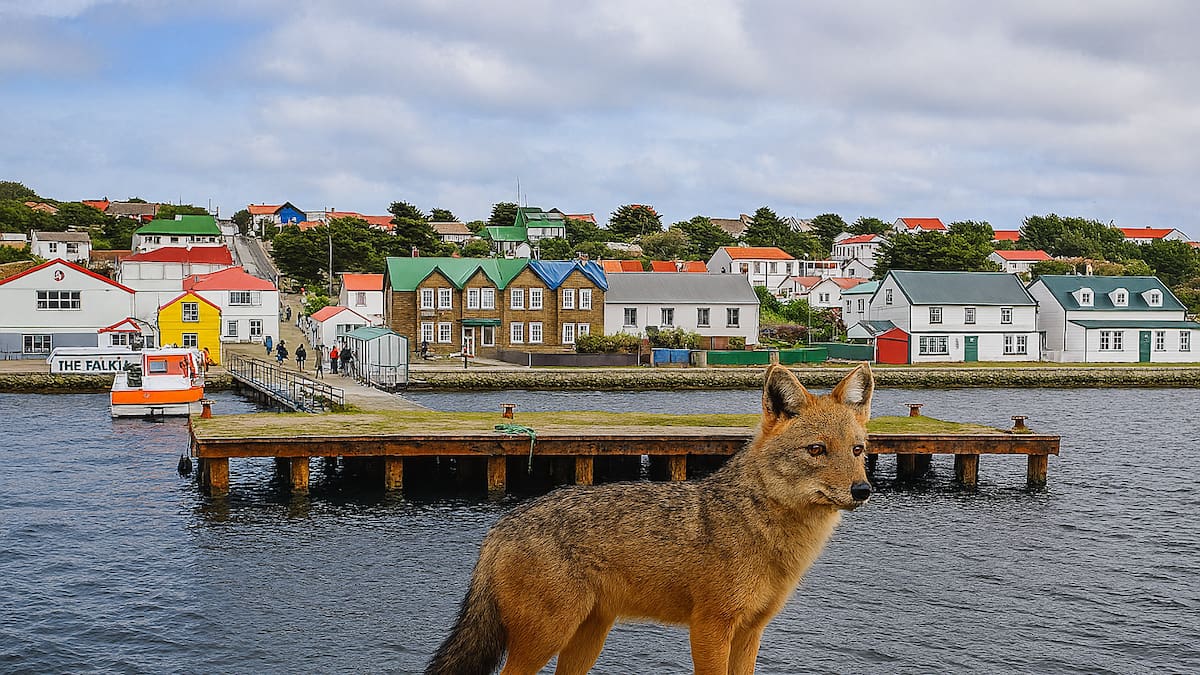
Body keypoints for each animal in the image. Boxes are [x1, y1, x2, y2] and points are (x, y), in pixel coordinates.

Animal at [425, 363, 874, 675]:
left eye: (857, 450)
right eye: (816, 450)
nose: (863, 490)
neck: (765, 529)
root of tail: (501, 526)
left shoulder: (750, 632)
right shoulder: (710, 627)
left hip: (586, 639)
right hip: (546, 638)